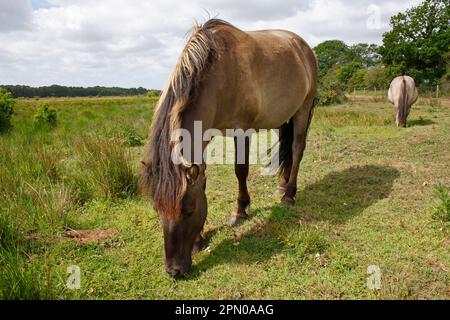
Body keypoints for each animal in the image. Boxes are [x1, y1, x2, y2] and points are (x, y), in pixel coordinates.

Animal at [141, 19, 316, 278]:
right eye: (157, 209)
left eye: (189, 210)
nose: (174, 270)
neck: (219, 74)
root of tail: (302, 45)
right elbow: (203, 178)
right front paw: (199, 239)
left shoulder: (241, 131)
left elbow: (240, 170)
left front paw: (240, 211)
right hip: (284, 117)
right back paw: (282, 185)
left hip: (303, 109)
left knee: (296, 148)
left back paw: (289, 195)